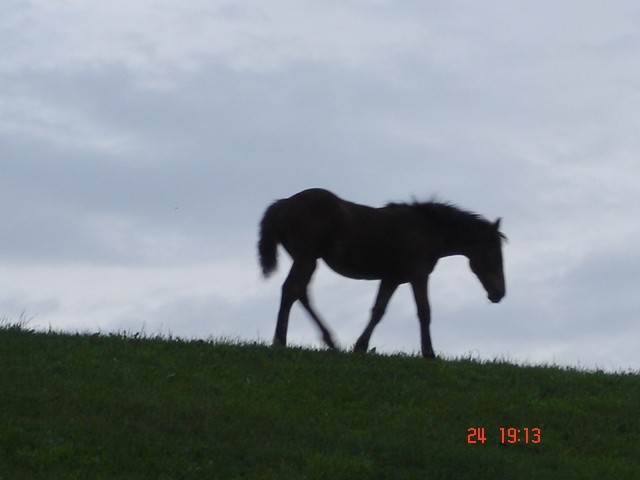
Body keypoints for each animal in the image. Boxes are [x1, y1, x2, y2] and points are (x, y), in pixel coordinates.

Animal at [256, 189, 504, 358]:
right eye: (495, 253)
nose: (499, 293)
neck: (428, 227)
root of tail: (282, 204)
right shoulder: (419, 275)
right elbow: (424, 312)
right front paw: (429, 354)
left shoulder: (391, 279)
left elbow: (378, 311)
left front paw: (360, 347)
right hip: (306, 259)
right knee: (292, 291)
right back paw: (280, 341)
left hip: (307, 261)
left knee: (300, 293)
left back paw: (329, 341)